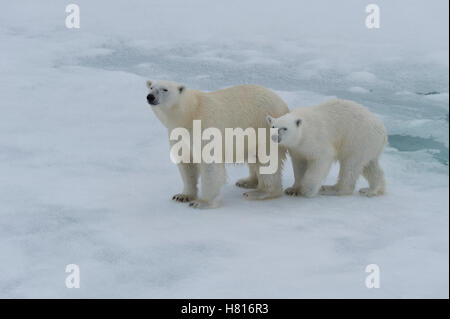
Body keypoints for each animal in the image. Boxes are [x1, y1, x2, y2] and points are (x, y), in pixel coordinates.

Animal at [146, 81, 290, 209]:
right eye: (151, 87)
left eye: (164, 89)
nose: (150, 97)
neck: (190, 113)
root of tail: (284, 105)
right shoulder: (179, 135)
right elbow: (187, 163)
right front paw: (183, 196)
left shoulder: (205, 127)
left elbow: (210, 165)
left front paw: (202, 203)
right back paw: (247, 181)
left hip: (265, 127)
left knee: (267, 160)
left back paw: (260, 192)